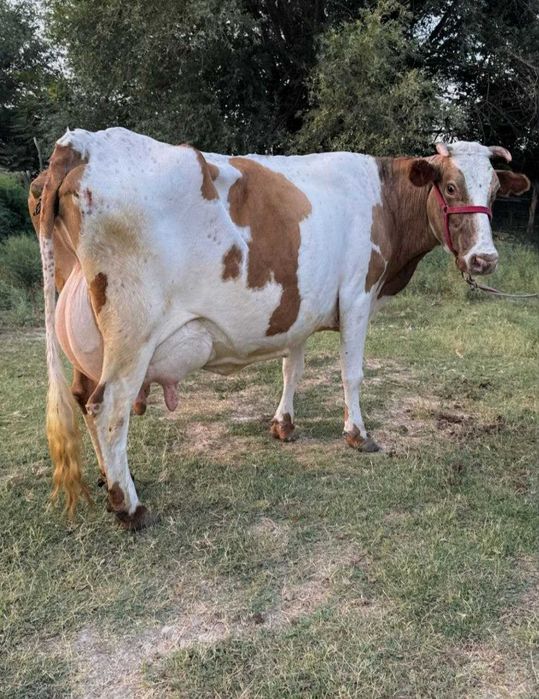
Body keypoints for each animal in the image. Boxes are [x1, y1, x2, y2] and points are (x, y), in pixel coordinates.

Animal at [29, 129, 530, 528]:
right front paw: (358, 434)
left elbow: (293, 368)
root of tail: (82, 143)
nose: (485, 259)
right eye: (450, 185)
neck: (383, 197)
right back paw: (129, 506)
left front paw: (283, 425)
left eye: (494, 194)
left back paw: (111, 480)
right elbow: (352, 374)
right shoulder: (358, 294)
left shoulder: (299, 309)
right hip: (132, 335)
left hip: (91, 341)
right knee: (107, 409)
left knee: (82, 397)